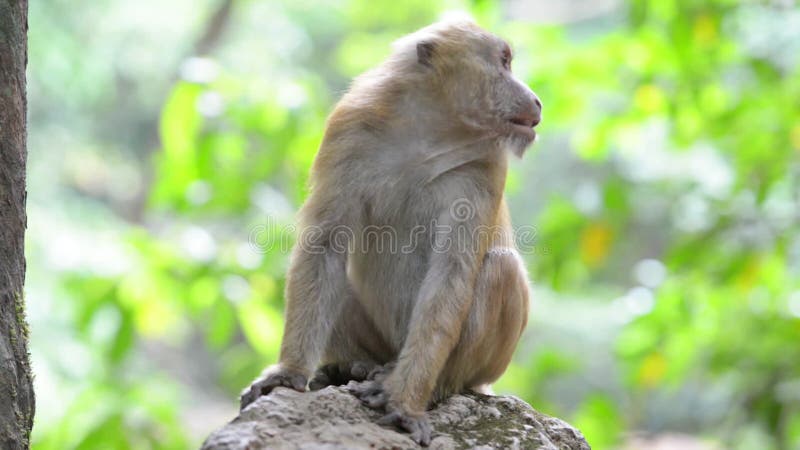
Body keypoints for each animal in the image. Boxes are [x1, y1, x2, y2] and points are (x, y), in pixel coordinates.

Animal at [241, 19, 540, 444]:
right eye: (505, 61)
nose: (536, 100)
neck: (430, 129)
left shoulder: (486, 166)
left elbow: (451, 274)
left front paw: (404, 403)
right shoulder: (348, 129)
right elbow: (325, 245)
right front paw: (289, 373)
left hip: (486, 365)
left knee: (500, 267)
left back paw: (434, 383)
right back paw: (352, 366)